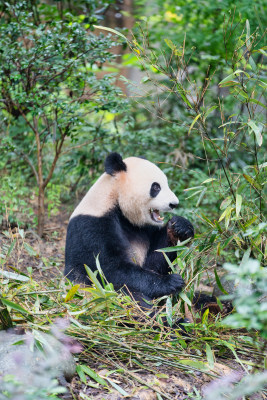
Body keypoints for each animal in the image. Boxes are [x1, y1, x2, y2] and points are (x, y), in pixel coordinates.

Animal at [65, 153, 195, 310]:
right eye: (156, 187)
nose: (174, 204)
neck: (115, 198)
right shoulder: (92, 227)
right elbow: (110, 270)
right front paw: (171, 281)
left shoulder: (142, 227)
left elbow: (155, 259)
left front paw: (179, 227)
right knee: (130, 297)